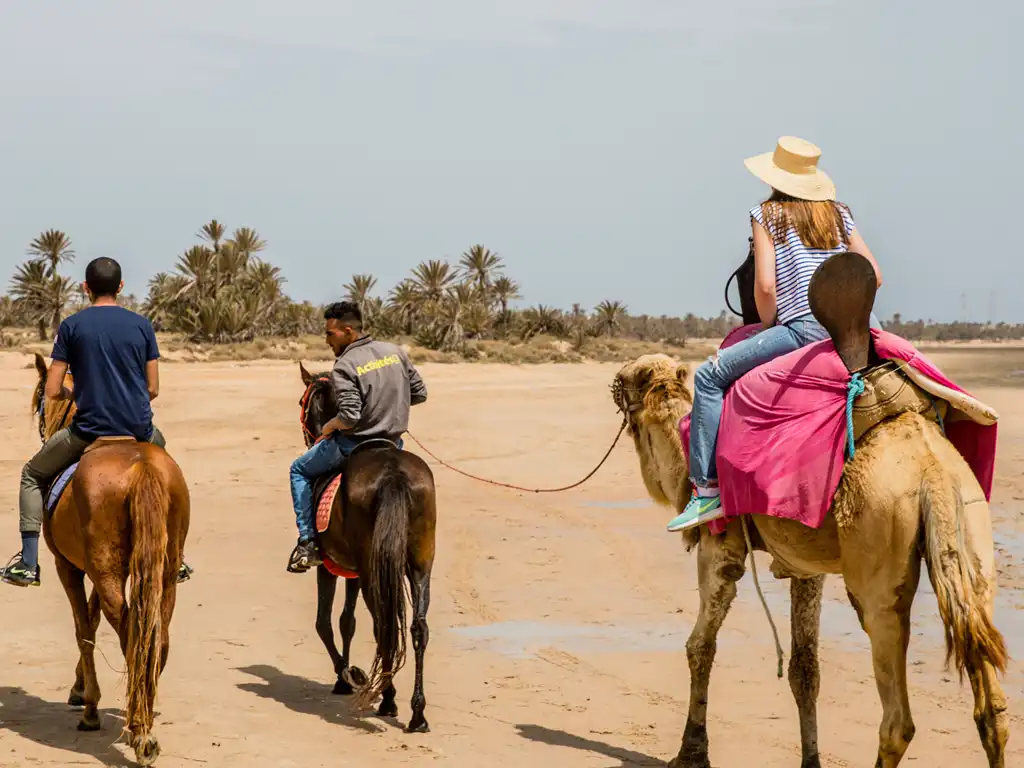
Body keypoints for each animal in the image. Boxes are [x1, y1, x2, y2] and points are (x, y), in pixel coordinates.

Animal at [33, 354, 189, 768]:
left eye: (39, 397)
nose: (43, 428)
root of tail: (142, 467)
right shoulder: (94, 568)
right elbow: (92, 618)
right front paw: (79, 688)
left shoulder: (68, 567)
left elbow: (83, 630)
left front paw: (89, 707)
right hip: (163, 571)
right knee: (155, 635)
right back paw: (144, 720)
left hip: (104, 571)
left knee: (130, 633)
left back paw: (139, 731)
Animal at [299, 362, 438, 733]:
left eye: (303, 403)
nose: (313, 437)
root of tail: (393, 474)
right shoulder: (353, 572)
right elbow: (347, 621)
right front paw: (348, 677)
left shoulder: (329, 567)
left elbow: (324, 622)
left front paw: (347, 676)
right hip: (418, 563)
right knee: (416, 627)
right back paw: (417, 713)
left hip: (372, 569)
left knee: (385, 624)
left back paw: (388, 699)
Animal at [614, 256, 1007, 765]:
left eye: (633, 376)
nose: (614, 380)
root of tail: (932, 475)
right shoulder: (805, 566)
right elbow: (805, 669)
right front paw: (810, 758)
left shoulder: (721, 546)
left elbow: (700, 645)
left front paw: (691, 753)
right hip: (971, 532)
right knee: (991, 704)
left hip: (878, 560)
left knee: (897, 717)